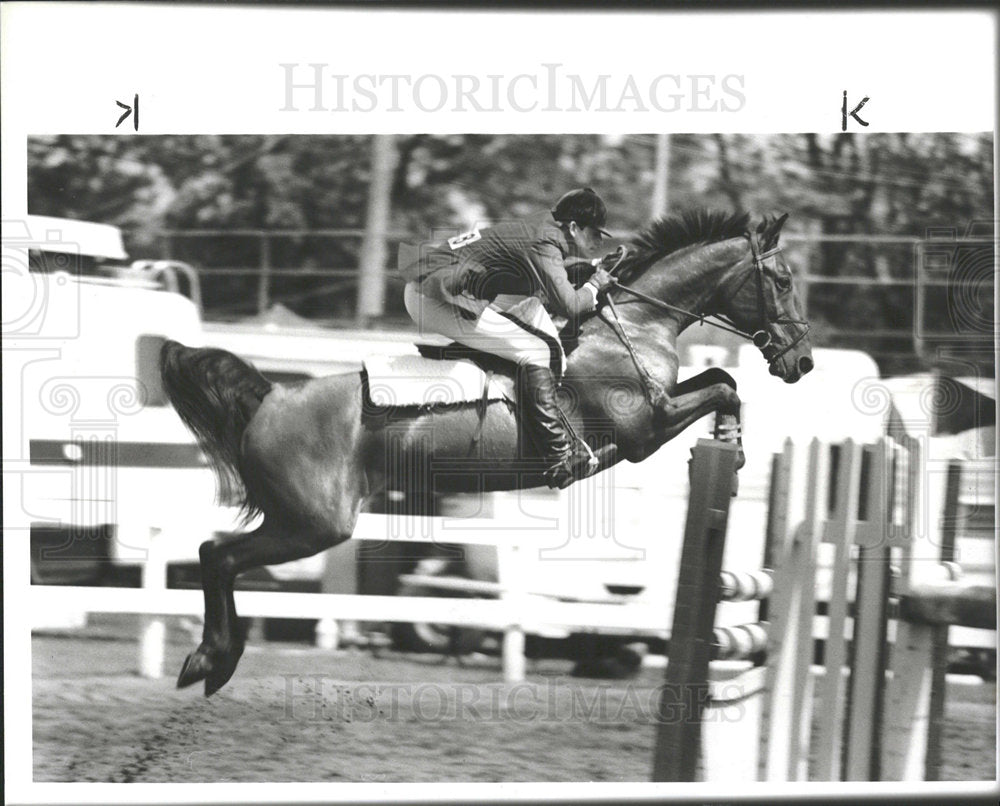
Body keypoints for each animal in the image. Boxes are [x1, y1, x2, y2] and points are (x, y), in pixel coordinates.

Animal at [161, 208, 813, 695]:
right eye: (781, 280)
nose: (801, 361)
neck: (632, 321)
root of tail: (272, 395)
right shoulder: (644, 431)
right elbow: (723, 386)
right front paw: (732, 444)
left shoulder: (654, 414)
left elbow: (719, 380)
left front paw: (731, 439)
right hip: (316, 524)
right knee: (219, 557)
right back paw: (210, 661)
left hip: (297, 519)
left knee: (216, 553)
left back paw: (215, 659)